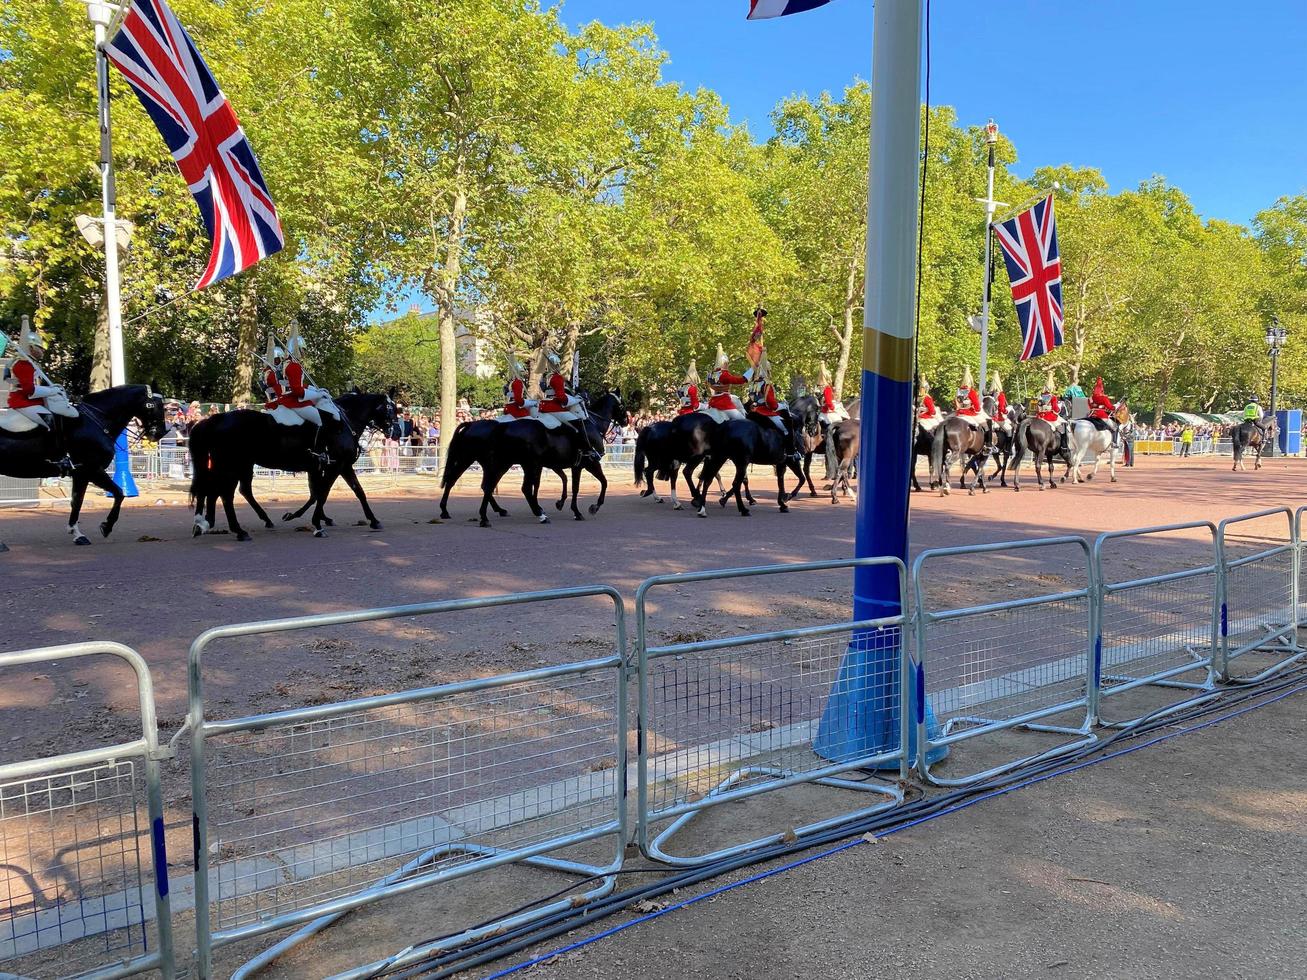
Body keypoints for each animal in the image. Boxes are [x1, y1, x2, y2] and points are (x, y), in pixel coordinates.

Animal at [0, 384, 165, 548]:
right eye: (158, 405)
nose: (161, 433)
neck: (95, 421)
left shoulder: (81, 474)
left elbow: (77, 501)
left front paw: (77, 533)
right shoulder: (93, 470)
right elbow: (118, 493)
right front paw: (106, 526)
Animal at [188, 391, 392, 540]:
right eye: (391, 409)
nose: (394, 431)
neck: (344, 423)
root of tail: (214, 419)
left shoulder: (335, 466)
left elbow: (353, 492)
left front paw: (373, 520)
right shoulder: (335, 466)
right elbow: (322, 493)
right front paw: (316, 523)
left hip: (235, 465)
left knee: (219, 491)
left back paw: (208, 523)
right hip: (233, 466)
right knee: (225, 494)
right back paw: (237, 530)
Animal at [475, 391, 627, 530]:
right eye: (622, 404)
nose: (626, 421)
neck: (594, 425)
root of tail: (503, 427)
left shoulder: (560, 465)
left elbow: (564, 481)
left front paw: (561, 503)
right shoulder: (588, 463)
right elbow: (595, 484)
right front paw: (588, 509)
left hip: (509, 463)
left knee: (489, 486)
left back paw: (487, 516)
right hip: (526, 464)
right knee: (519, 488)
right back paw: (539, 515)